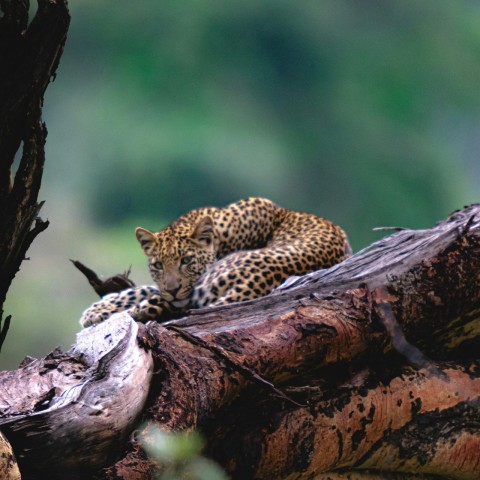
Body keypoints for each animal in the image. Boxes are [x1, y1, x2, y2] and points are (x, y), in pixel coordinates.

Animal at [78, 197, 348, 328]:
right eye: (158, 266)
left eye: (187, 260)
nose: (173, 289)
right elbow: (144, 288)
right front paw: (97, 309)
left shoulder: (190, 288)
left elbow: (148, 292)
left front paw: (100, 310)